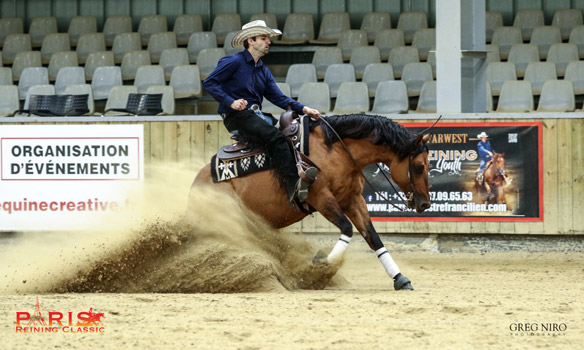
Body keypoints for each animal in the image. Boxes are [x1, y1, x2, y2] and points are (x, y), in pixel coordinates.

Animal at [189, 115, 432, 290]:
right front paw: (320, 264)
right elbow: (347, 228)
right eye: (419, 166)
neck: (337, 150)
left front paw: (399, 278)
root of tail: (196, 183)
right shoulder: (321, 197)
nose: (425, 204)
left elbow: (373, 238)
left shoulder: (353, 200)